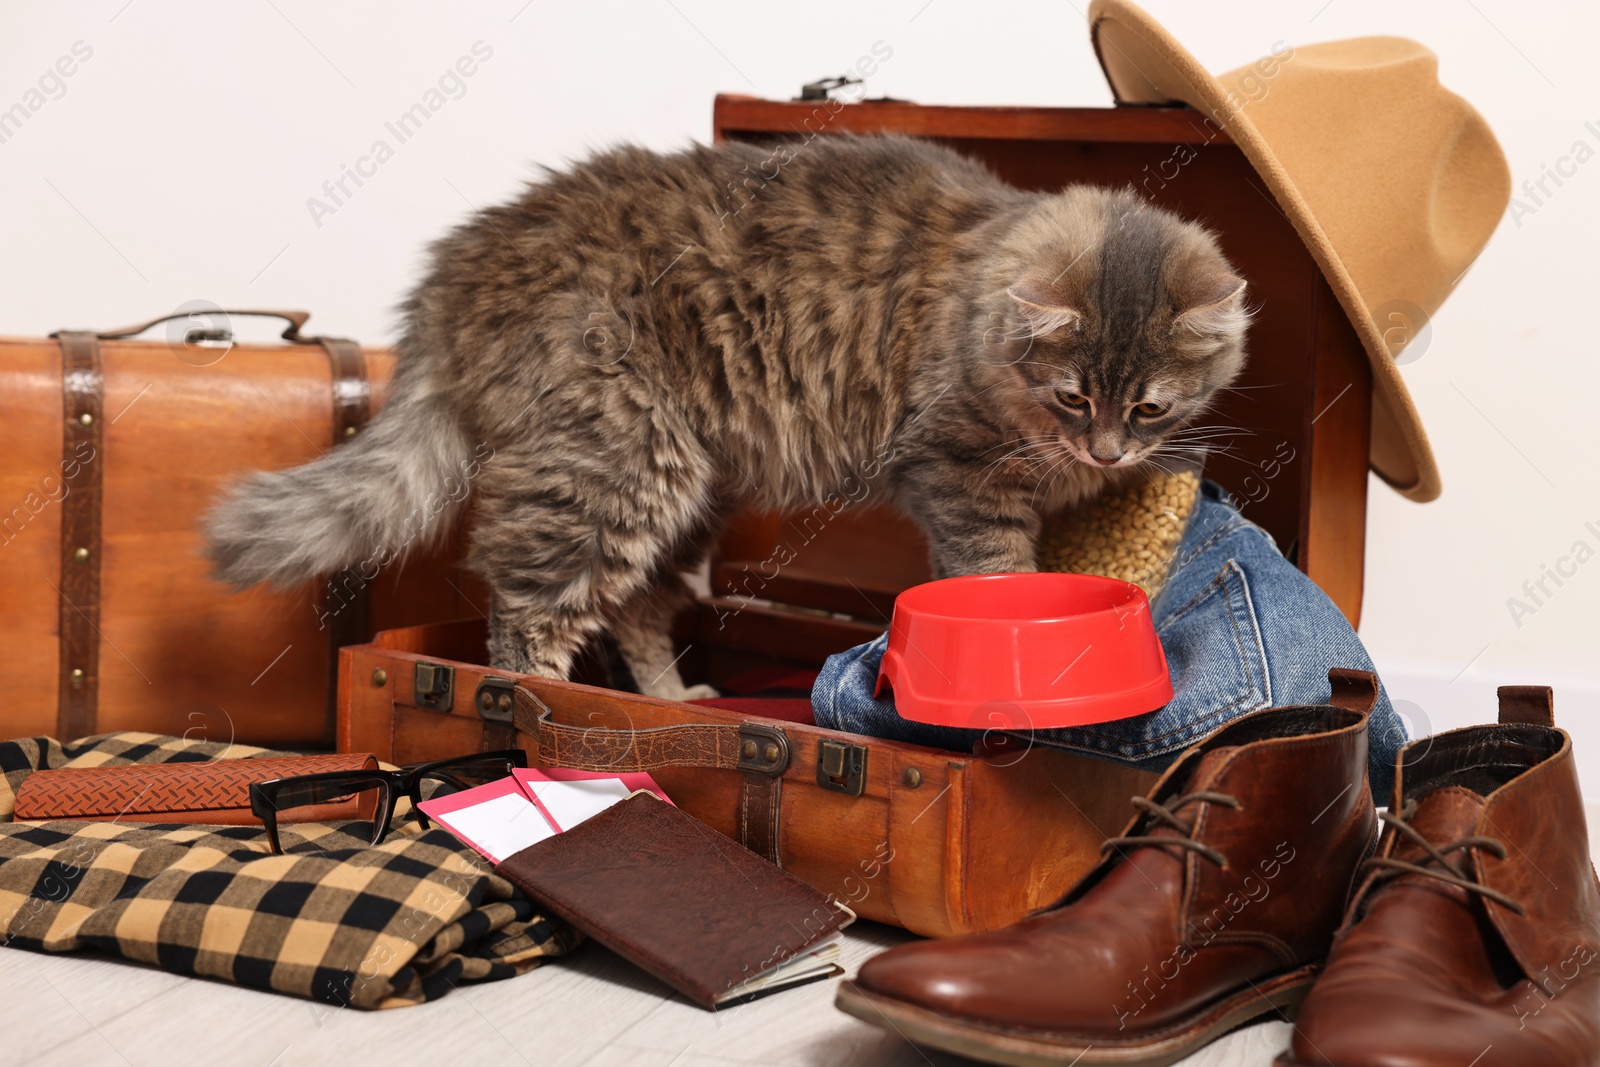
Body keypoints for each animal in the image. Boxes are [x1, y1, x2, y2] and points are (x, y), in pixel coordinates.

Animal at [203, 133, 1248, 700]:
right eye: (1073, 395)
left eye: (1148, 407)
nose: (1104, 450)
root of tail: (455, 271)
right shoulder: (953, 472)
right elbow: (998, 569)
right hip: (614, 465)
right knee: (527, 607)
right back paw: (543, 710)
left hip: (689, 489)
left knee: (634, 609)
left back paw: (669, 698)